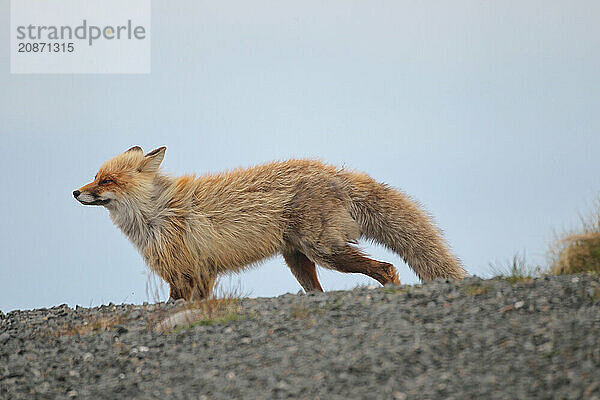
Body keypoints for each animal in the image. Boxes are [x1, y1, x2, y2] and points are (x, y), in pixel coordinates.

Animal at [71, 147, 464, 300]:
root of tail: (334, 172)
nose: (75, 191)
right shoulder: (194, 274)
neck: (156, 215)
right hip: (299, 260)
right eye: (95, 177)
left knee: (386, 268)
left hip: (327, 252)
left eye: (107, 181)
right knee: (319, 291)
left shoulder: (189, 273)